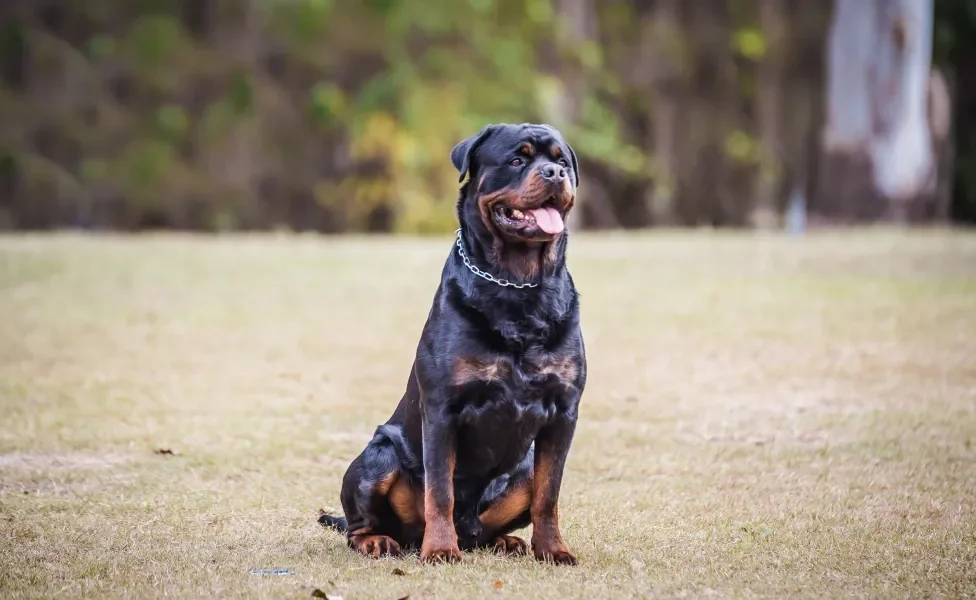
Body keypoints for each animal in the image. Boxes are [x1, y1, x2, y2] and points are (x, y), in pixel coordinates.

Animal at [320, 124, 584, 564]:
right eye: (517, 159)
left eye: (561, 161)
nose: (554, 174)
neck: (518, 284)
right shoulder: (443, 409)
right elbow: (439, 490)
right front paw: (441, 549)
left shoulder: (563, 412)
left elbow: (549, 494)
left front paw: (553, 550)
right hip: (379, 456)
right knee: (360, 524)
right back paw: (380, 540)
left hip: (521, 469)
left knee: (498, 520)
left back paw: (505, 541)